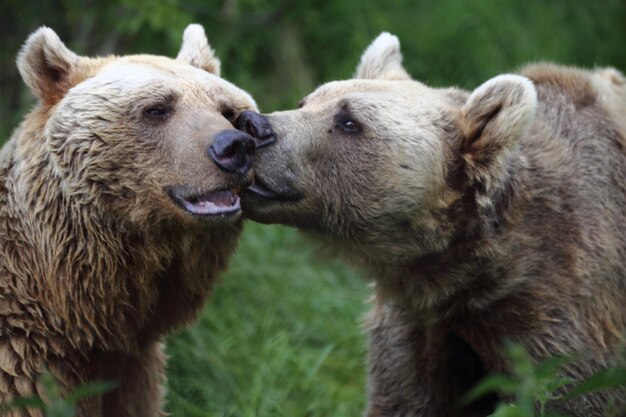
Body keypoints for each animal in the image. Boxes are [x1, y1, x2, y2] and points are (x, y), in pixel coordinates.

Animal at [238, 30, 624, 414]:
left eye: (349, 121)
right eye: (305, 101)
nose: (254, 126)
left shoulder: (559, 309)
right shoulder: (417, 326)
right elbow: (406, 399)